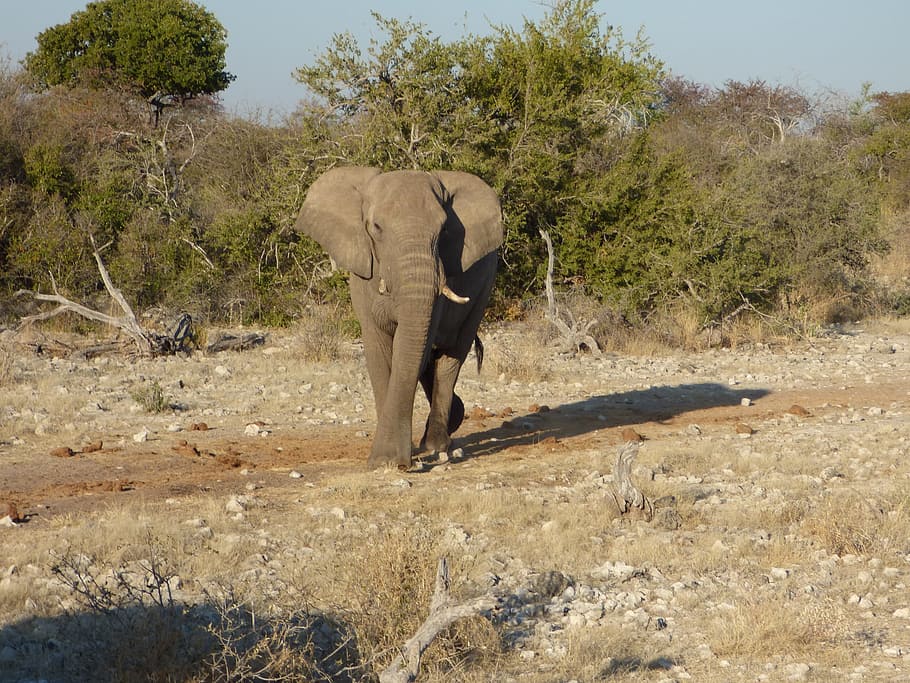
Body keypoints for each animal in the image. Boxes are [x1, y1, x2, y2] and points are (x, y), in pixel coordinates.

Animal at [295, 167, 503, 469]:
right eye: (376, 227)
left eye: (444, 230)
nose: (402, 463)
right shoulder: (362, 275)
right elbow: (379, 350)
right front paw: (385, 460)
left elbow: (414, 347)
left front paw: (389, 459)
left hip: (485, 287)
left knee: (451, 356)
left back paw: (437, 444)